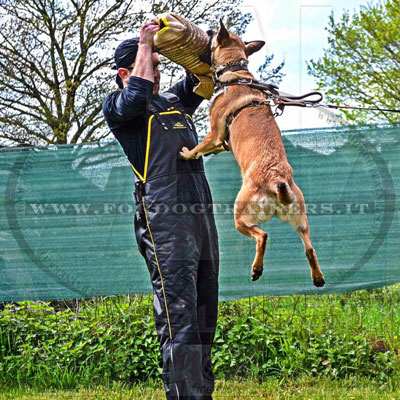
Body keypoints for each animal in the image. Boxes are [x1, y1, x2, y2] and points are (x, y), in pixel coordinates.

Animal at [179, 21, 324, 288]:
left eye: (213, 34)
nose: (207, 30)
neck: (236, 73)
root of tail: (276, 181)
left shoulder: (214, 134)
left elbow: (198, 147)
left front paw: (186, 153)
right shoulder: (220, 142)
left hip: (240, 215)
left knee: (262, 235)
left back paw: (257, 269)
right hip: (301, 220)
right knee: (309, 247)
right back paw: (317, 278)